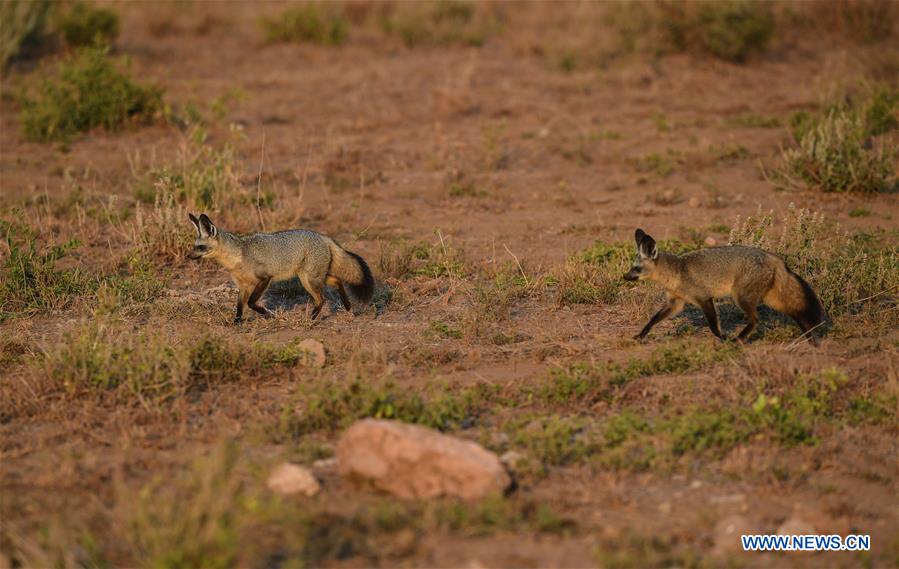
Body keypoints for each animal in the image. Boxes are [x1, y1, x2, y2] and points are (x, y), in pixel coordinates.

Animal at [188, 213, 374, 322]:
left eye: (200, 247)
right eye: (194, 246)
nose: (188, 257)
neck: (238, 255)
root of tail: (322, 236)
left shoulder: (265, 278)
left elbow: (251, 303)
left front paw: (268, 315)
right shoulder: (242, 285)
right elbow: (240, 306)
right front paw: (237, 322)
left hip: (309, 279)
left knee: (322, 299)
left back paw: (312, 318)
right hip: (315, 277)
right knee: (338, 282)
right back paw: (347, 306)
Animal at [624, 229, 824, 344]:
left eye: (636, 268)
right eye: (631, 267)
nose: (624, 277)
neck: (677, 271)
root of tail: (773, 257)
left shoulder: (704, 298)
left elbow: (714, 326)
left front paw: (723, 338)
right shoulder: (675, 303)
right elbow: (653, 319)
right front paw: (641, 335)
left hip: (740, 297)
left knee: (756, 319)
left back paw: (738, 340)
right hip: (771, 299)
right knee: (795, 311)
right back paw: (809, 337)